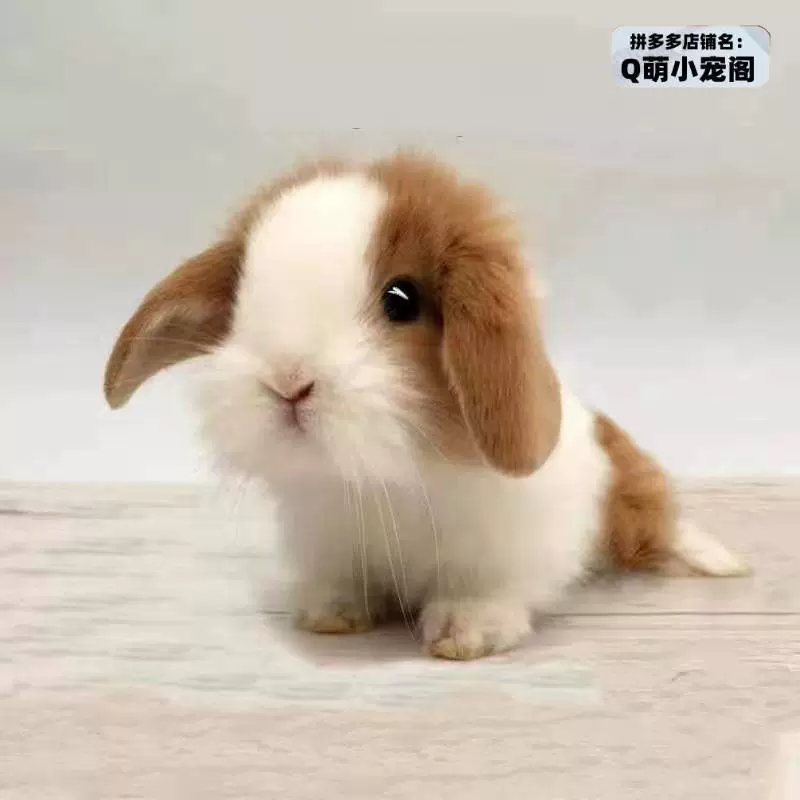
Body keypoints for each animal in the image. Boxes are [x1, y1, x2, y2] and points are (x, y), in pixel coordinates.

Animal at [103, 152, 749, 660]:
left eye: (402, 299)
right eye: (240, 298)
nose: (288, 380)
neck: (386, 482)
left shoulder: (506, 551)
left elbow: (486, 592)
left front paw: (466, 633)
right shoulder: (331, 541)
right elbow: (343, 585)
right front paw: (329, 613)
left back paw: (720, 560)